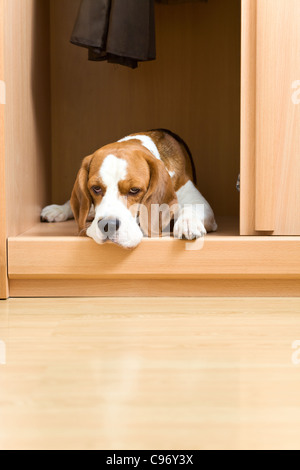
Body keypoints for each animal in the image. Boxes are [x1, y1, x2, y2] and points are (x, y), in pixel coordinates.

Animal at [41, 127, 217, 246]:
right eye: (96, 188)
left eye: (134, 190)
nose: (108, 226)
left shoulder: (199, 202)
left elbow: (192, 207)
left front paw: (188, 222)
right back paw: (58, 210)